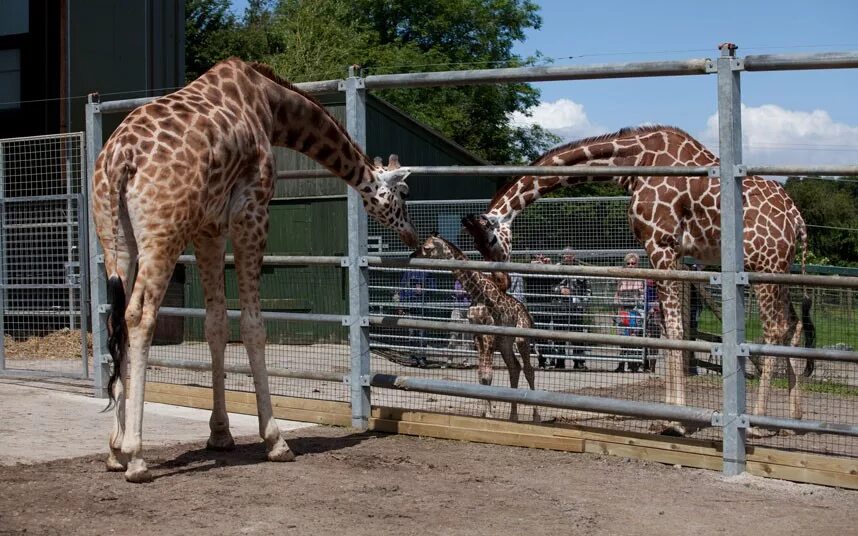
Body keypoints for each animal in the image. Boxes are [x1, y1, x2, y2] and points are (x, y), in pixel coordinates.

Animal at [92, 57, 416, 482]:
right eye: (402, 195)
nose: (414, 238)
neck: (271, 106)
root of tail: (120, 160)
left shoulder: (209, 228)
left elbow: (215, 324)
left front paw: (220, 434)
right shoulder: (252, 212)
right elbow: (252, 326)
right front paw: (275, 441)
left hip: (115, 240)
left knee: (115, 320)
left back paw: (114, 449)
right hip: (163, 236)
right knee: (139, 315)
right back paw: (136, 455)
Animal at [410, 234, 540, 422]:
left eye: (427, 248)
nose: (413, 255)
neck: (477, 292)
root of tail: (528, 315)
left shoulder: (489, 332)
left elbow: (488, 375)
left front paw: (490, 413)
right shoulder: (477, 334)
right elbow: (481, 376)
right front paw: (486, 413)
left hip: (522, 338)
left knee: (529, 370)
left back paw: (536, 417)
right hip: (505, 342)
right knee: (514, 367)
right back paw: (512, 416)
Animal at [458, 124, 812, 436]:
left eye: (489, 240)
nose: (501, 281)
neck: (634, 164)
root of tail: (797, 219)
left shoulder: (661, 245)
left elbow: (675, 331)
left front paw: (676, 421)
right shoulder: (672, 252)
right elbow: (669, 329)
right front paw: (667, 415)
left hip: (763, 267)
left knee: (775, 329)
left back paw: (758, 422)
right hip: (780, 268)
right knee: (793, 325)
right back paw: (791, 420)